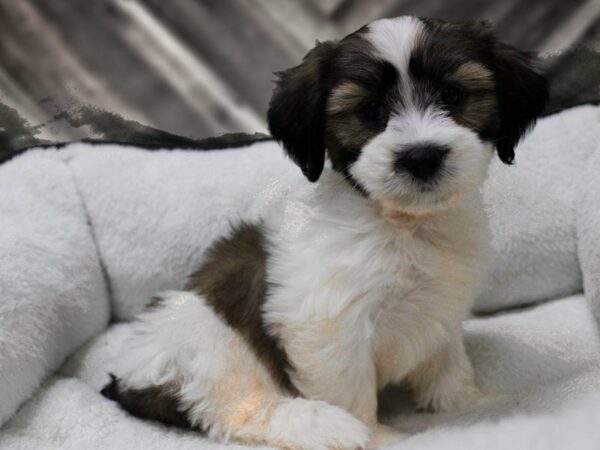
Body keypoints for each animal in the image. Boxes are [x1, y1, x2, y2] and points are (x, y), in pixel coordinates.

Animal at [102, 16, 548, 450]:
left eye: (453, 95)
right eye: (370, 110)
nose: (421, 156)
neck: (402, 223)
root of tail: (125, 379)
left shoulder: (439, 310)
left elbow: (446, 362)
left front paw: (465, 404)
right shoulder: (325, 324)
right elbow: (348, 385)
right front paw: (374, 437)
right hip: (206, 354)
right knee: (240, 410)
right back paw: (324, 426)